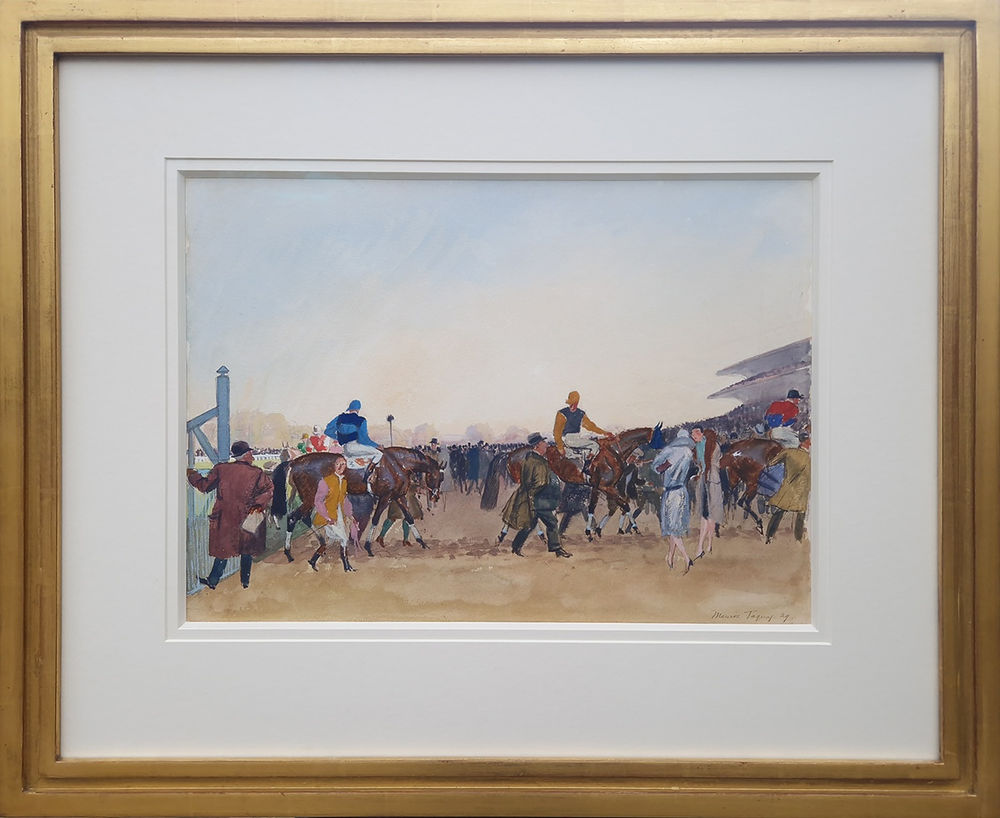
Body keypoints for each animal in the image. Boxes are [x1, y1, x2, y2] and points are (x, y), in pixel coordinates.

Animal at [270, 448, 444, 570]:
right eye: (437, 476)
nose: (435, 496)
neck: (397, 463)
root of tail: (295, 462)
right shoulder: (385, 497)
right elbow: (375, 519)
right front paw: (368, 547)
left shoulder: (398, 496)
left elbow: (409, 517)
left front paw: (422, 542)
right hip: (311, 497)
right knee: (293, 517)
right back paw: (288, 552)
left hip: (310, 499)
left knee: (304, 517)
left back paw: (321, 544)